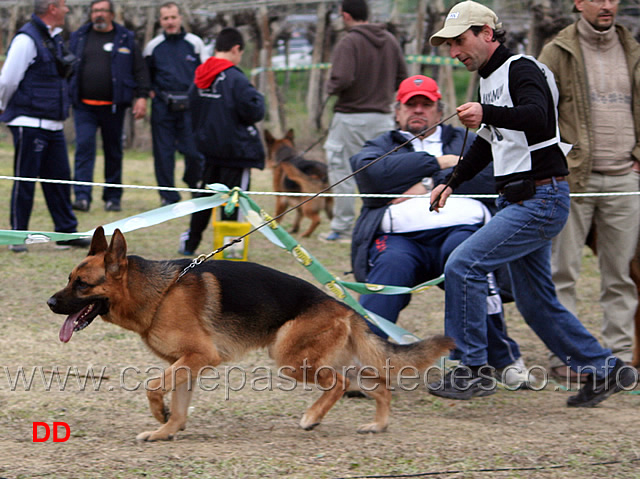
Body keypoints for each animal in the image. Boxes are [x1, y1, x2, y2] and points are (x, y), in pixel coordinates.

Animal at [47, 227, 452, 440]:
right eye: (68, 279)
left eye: (82, 285)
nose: (50, 303)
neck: (159, 293)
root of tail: (343, 306)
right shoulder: (188, 364)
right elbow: (179, 406)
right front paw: (167, 430)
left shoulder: (198, 358)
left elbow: (152, 386)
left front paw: (159, 417)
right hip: (329, 359)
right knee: (377, 385)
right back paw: (378, 424)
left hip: (291, 359)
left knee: (337, 384)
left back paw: (312, 417)